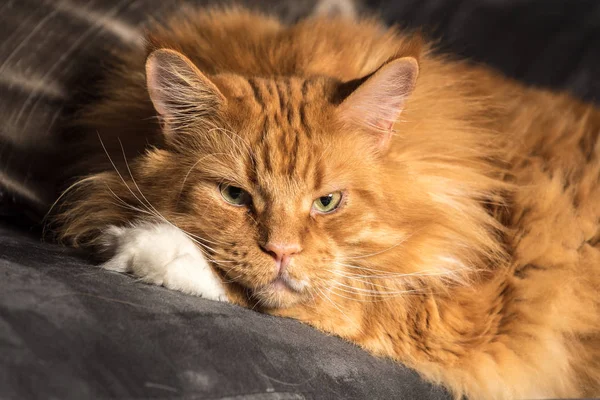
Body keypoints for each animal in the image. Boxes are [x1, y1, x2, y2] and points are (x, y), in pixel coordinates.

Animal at [50, 6, 600, 400]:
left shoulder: (467, 310)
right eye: (234, 195)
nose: (281, 252)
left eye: (328, 202)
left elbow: (334, 299)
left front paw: (148, 249)